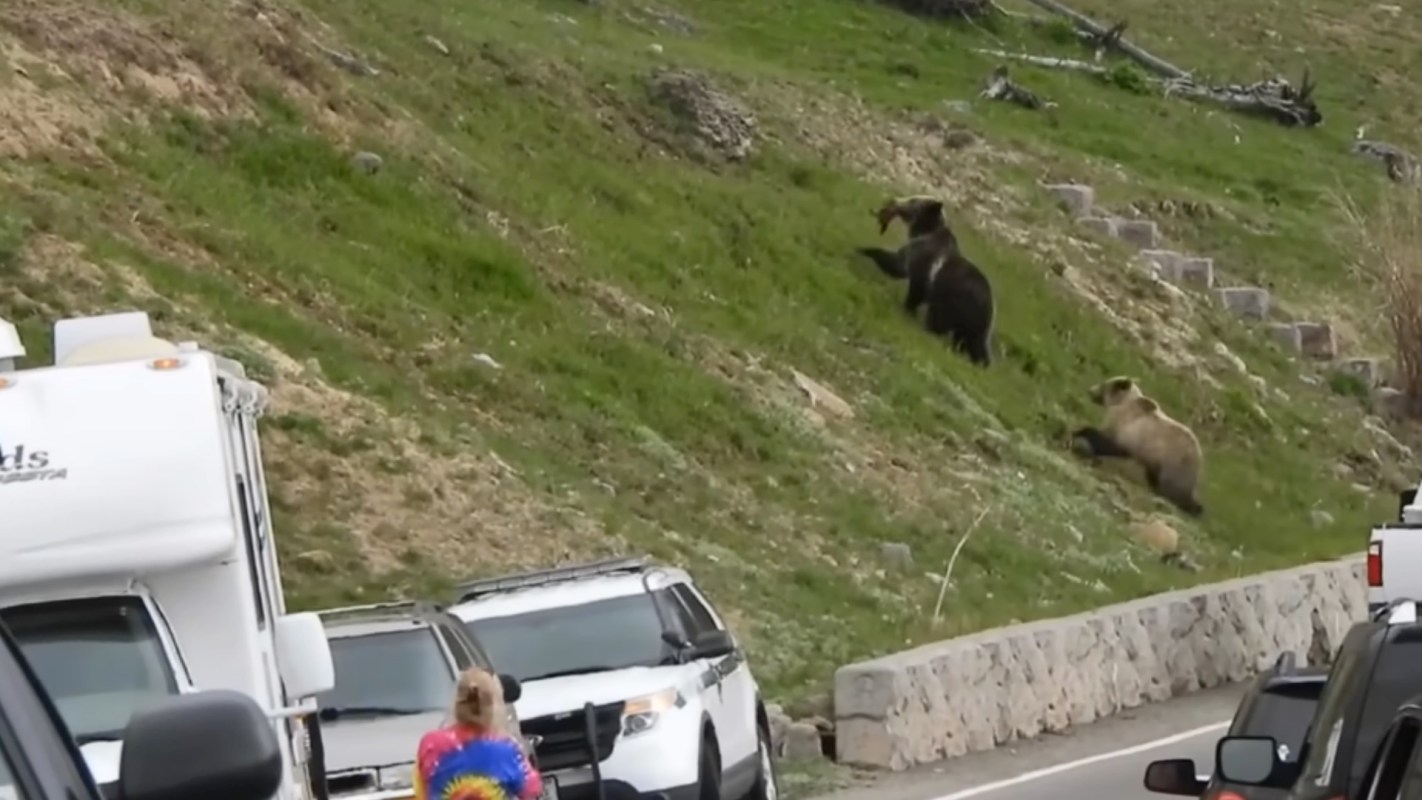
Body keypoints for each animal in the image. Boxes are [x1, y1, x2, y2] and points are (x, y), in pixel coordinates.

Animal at [855, 196, 996, 367]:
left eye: (913, 200)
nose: (895, 200)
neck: (924, 231)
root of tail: (988, 307)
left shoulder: (921, 262)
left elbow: (900, 269)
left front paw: (863, 249)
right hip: (973, 323)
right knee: (971, 342)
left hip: (952, 302)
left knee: (940, 322)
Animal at [1071, 376, 1205, 517]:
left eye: (1104, 384)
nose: (1090, 391)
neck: (1122, 403)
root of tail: (1199, 456)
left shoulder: (1125, 428)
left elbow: (1106, 443)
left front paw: (1081, 437)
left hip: (1175, 463)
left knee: (1173, 489)